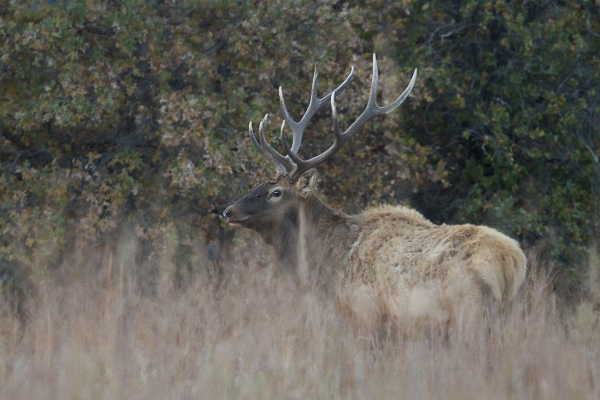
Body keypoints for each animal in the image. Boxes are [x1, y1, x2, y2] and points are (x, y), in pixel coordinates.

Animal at [224, 54, 524, 334]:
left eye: (275, 192)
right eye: (258, 184)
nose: (228, 211)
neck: (325, 268)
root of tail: (513, 261)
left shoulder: (366, 314)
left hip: (470, 312)